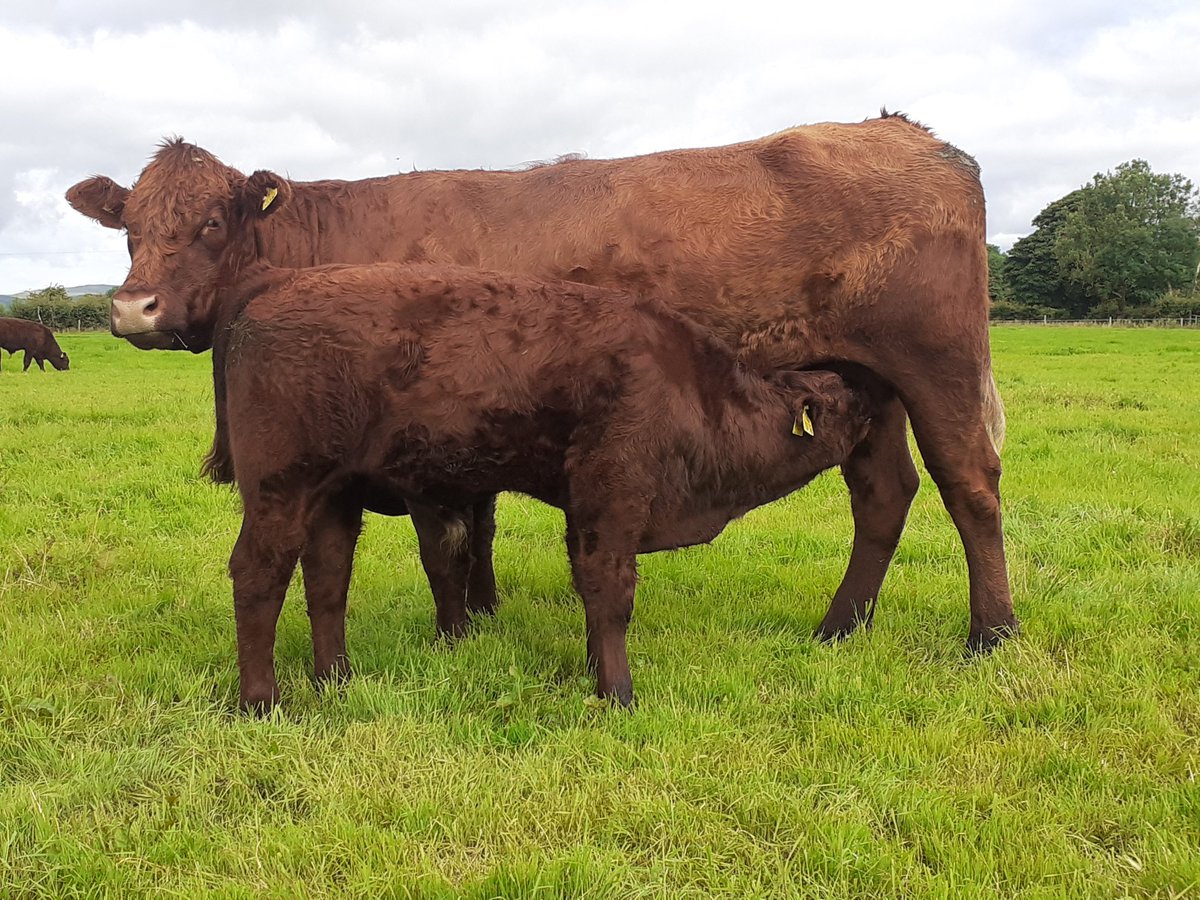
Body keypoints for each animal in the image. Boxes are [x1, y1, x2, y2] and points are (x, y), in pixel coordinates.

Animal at [65, 111, 1017, 653]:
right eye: (129, 226)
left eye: (212, 222)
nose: (134, 308)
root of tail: (899, 129)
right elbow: (478, 528)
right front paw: (484, 617)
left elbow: (445, 543)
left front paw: (455, 633)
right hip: (862, 382)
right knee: (884, 493)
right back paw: (837, 628)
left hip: (935, 363)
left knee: (969, 485)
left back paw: (991, 633)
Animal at [210, 261, 872, 709]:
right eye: (840, 399)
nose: (871, 402)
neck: (687, 386)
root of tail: (274, 285)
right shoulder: (614, 495)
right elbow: (612, 591)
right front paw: (619, 692)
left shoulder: (584, 508)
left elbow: (587, 587)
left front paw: (594, 672)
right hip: (279, 490)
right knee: (259, 574)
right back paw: (262, 701)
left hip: (334, 496)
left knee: (327, 579)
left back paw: (337, 680)